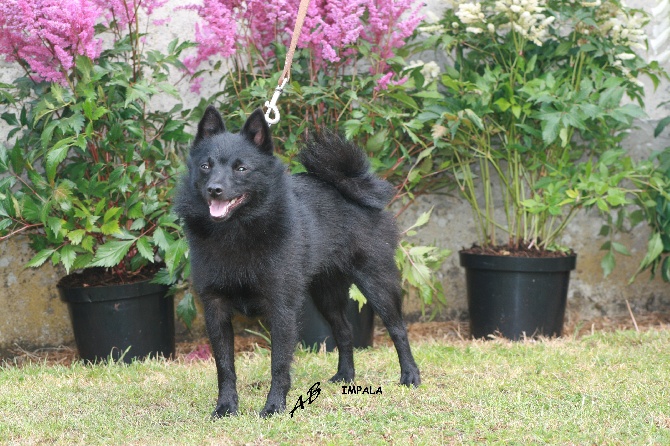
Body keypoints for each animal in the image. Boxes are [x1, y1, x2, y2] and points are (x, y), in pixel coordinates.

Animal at [176, 106, 422, 416]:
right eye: (205, 166)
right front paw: (226, 407)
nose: (214, 189)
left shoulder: (282, 307)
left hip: (376, 281)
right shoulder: (215, 307)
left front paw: (273, 407)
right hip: (326, 293)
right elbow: (224, 366)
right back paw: (345, 375)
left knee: (398, 329)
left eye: (241, 168)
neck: (236, 232)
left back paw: (410, 375)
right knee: (344, 331)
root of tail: (350, 185)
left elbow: (279, 363)